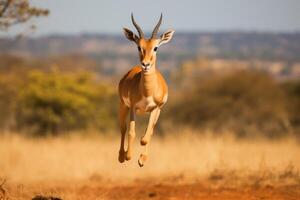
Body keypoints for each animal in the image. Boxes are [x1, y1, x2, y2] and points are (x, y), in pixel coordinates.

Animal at [117, 14, 173, 167]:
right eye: (139, 47)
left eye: (156, 48)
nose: (145, 64)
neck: (148, 92)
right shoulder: (133, 107)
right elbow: (131, 131)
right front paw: (129, 156)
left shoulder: (157, 108)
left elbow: (148, 135)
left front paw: (142, 160)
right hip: (123, 106)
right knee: (123, 128)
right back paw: (121, 156)